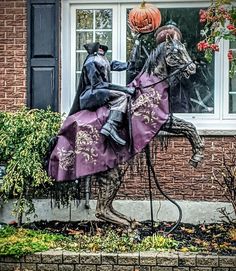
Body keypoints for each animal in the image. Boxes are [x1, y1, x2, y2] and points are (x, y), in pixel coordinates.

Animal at [48, 35, 205, 228]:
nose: (192, 68)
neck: (150, 85)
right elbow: (189, 128)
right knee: (101, 210)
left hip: (112, 175)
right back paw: (130, 226)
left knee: (106, 207)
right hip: (109, 175)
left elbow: (189, 127)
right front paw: (196, 155)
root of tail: (59, 137)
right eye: (175, 51)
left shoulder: (165, 120)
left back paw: (131, 222)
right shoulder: (161, 121)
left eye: (182, 47)